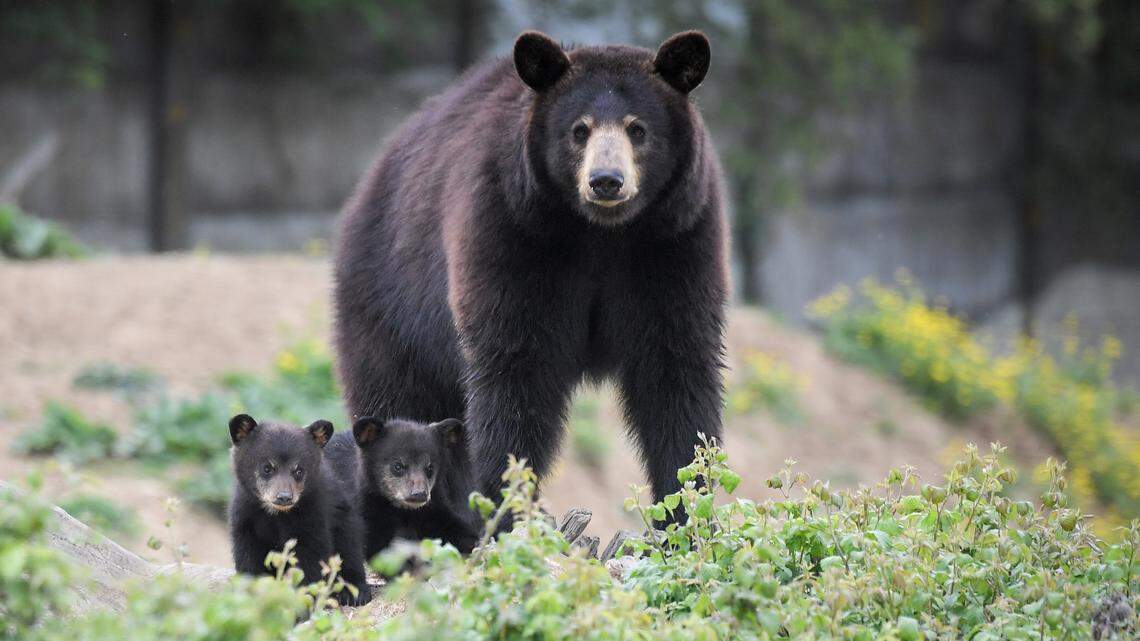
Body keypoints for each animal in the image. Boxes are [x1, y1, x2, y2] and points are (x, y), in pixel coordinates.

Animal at [227, 414, 372, 606]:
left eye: (299, 470)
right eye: (267, 468)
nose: (284, 497)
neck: (276, 514)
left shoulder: (311, 513)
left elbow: (310, 557)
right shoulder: (245, 516)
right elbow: (248, 556)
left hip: (345, 517)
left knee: (349, 548)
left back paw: (354, 592)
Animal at [324, 416, 481, 560]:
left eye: (430, 468)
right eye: (398, 466)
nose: (419, 494)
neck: (404, 512)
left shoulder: (433, 511)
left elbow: (454, 527)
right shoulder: (367, 511)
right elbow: (380, 545)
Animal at [333, 30, 726, 515]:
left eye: (638, 129)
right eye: (579, 129)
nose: (606, 180)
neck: (602, 233)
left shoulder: (676, 239)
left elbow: (675, 367)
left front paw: (686, 509)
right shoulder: (513, 231)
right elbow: (516, 367)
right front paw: (505, 503)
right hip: (393, 306)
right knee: (398, 400)